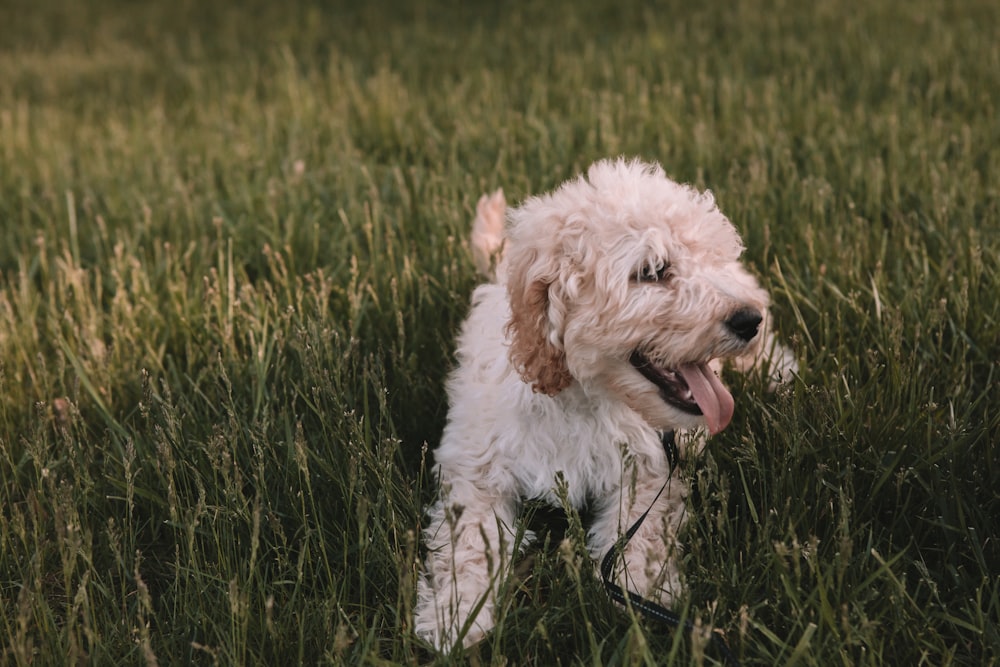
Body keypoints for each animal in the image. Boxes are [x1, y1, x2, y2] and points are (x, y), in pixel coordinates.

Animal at [414, 159, 796, 648]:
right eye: (652, 271)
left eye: (713, 260)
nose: (747, 320)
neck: (582, 393)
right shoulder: (476, 467)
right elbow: (468, 541)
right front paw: (456, 615)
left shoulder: (650, 466)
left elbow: (640, 532)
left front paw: (641, 594)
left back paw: (780, 372)